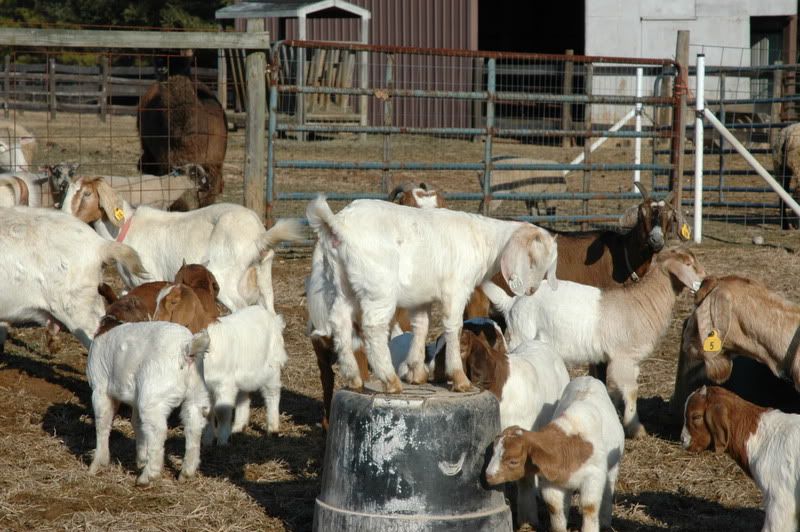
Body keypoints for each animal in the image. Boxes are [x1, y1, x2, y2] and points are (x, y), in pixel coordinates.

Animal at [60, 176, 302, 312]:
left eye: (87, 193)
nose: (63, 216)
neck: (124, 230)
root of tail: (258, 235)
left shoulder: (150, 278)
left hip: (225, 277)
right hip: (263, 278)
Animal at [86, 321, 210, 485]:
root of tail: (186, 350)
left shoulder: (100, 388)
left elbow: (103, 423)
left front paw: (97, 463)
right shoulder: (135, 397)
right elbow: (136, 423)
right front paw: (141, 459)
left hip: (154, 396)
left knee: (158, 430)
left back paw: (147, 476)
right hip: (196, 394)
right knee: (193, 426)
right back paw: (186, 472)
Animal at [306, 195, 558, 394]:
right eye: (533, 259)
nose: (532, 290)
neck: (484, 241)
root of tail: (338, 225)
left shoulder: (421, 298)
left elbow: (421, 326)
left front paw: (416, 372)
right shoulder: (457, 289)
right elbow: (454, 327)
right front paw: (459, 378)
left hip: (342, 284)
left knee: (339, 321)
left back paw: (353, 377)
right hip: (377, 287)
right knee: (373, 327)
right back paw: (390, 379)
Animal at [486, 247, 705, 438]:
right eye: (688, 264)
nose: (704, 280)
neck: (641, 303)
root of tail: (512, 303)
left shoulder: (630, 361)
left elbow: (617, 390)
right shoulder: (622, 358)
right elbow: (632, 391)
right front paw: (636, 428)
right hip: (521, 334)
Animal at [486, 376, 625, 532]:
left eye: (513, 461)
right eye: (493, 452)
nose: (488, 476)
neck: (570, 446)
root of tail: (587, 377)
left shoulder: (594, 476)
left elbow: (590, 507)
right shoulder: (551, 481)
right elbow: (554, 507)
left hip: (613, 466)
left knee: (608, 491)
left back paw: (606, 522)